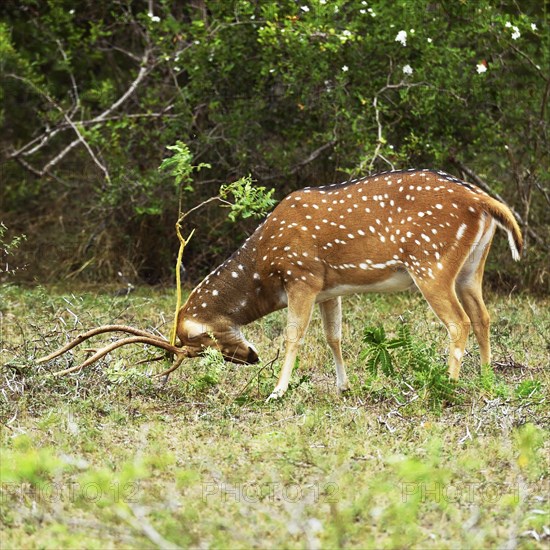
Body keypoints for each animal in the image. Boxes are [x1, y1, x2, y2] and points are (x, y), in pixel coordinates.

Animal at [37, 169, 520, 402]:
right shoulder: (329, 287)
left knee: (457, 322)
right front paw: (344, 387)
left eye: (198, 342)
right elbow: (333, 336)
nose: (249, 358)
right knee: (483, 316)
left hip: (430, 263)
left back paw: (444, 388)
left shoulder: (302, 275)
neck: (264, 266)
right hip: (470, 267)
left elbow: (293, 335)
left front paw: (277, 390)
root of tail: (484, 202)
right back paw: (486, 381)